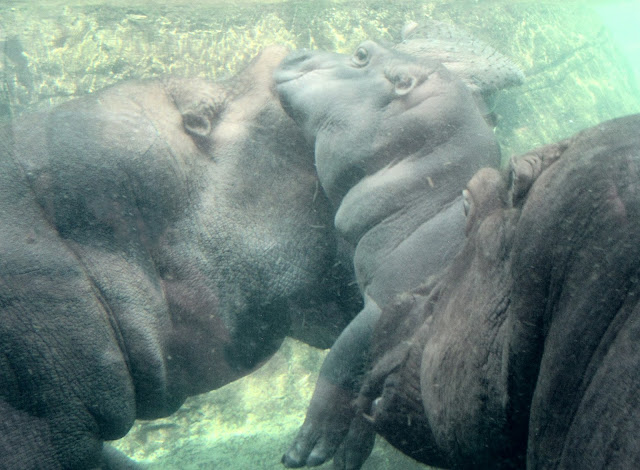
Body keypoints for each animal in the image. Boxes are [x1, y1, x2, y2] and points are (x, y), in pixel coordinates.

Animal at [276, 40, 503, 468]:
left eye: (362, 54)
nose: (294, 53)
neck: (430, 198)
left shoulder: (383, 304)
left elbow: (340, 361)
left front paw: (307, 448)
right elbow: (370, 386)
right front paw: (348, 454)